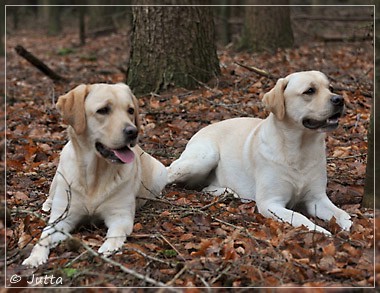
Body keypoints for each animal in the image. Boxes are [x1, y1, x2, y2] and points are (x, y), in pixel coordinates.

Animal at [22, 82, 166, 266]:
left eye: (130, 110)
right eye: (103, 110)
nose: (133, 131)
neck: (94, 175)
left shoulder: (120, 215)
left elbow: (115, 234)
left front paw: (108, 248)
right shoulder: (64, 217)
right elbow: (44, 236)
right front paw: (34, 257)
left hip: (160, 173)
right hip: (58, 176)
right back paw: (47, 204)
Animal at [168, 69, 352, 234]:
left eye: (331, 87)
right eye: (310, 91)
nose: (340, 99)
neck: (300, 148)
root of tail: (202, 129)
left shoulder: (317, 198)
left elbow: (342, 213)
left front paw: (348, 226)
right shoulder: (270, 203)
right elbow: (300, 217)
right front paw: (320, 230)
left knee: (204, 187)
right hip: (204, 158)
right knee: (173, 175)